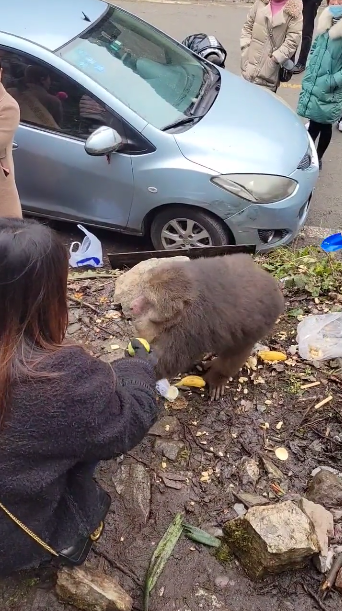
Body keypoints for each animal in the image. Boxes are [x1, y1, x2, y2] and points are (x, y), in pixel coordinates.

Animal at [130, 255, 284, 402]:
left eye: (148, 301)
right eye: (143, 293)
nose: (132, 305)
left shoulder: (189, 328)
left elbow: (169, 362)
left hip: (261, 323)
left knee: (237, 350)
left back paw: (218, 376)